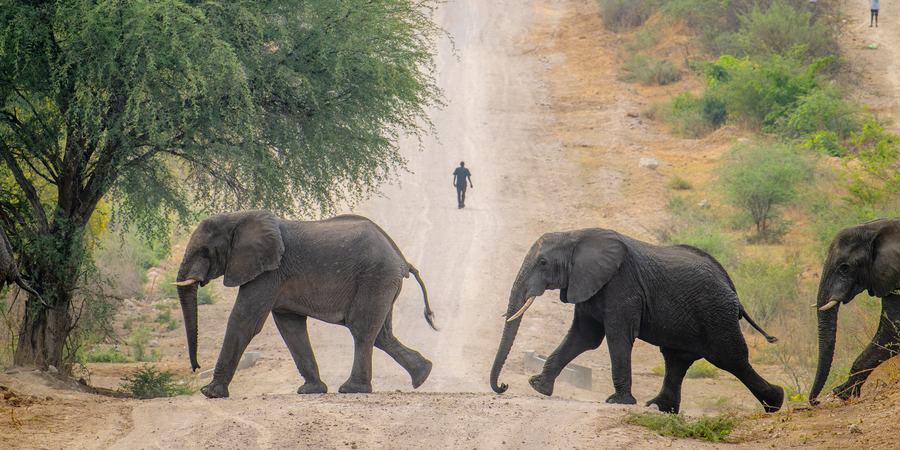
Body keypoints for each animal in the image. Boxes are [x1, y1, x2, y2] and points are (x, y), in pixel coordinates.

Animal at [174, 210, 437, 398]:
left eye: (204, 252)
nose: (196, 367)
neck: (238, 218)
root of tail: (401, 259)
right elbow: (291, 327)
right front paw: (311, 390)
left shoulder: (269, 272)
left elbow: (244, 320)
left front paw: (210, 393)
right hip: (382, 282)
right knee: (382, 335)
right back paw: (423, 375)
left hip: (375, 277)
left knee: (361, 329)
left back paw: (352, 389)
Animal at [490, 229, 784, 413]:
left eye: (542, 262)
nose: (503, 386)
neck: (575, 235)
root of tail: (733, 290)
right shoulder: (588, 284)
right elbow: (583, 337)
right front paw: (538, 387)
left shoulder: (623, 286)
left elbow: (617, 337)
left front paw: (617, 402)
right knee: (677, 360)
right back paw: (658, 407)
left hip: (716, 315)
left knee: (731, 359)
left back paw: (775, 402)